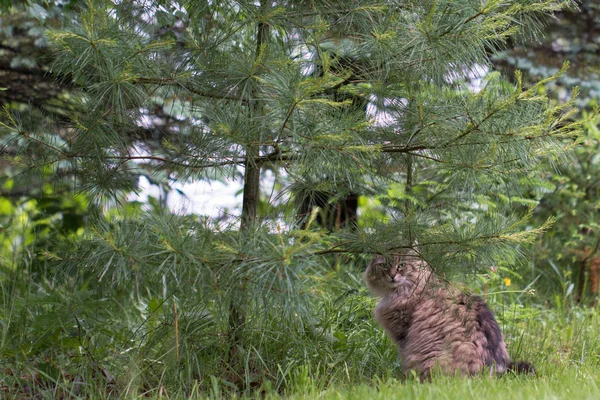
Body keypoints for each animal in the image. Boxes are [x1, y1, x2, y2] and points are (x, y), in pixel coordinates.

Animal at [364, 250, 532, 378]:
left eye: (402, 265)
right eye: (384, 265)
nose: (392, 275)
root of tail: (492, 371)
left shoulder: (403, 334)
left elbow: (404, 357)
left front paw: (404, 377)